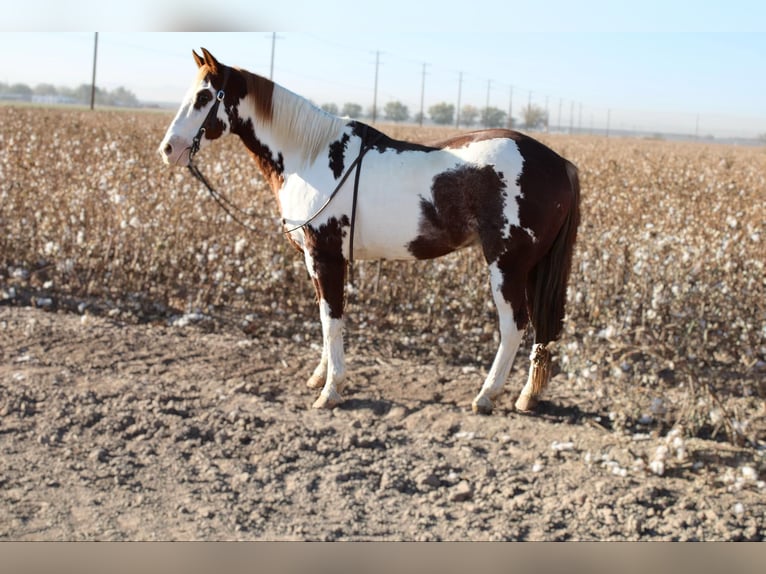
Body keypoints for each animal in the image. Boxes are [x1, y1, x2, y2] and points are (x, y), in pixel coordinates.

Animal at [158, 48, 580, 414]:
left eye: (204, 96)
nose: (168, 149)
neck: (310, 157)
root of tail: (558, 162)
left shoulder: (326, 257)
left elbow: (332, 320)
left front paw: (331, 390)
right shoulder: (317, 260)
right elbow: (326, 317)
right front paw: (320, 377)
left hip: (506, 265)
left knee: (514, 325)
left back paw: (486, 395)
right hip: (530, 268)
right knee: (538, 327)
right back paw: (526, 396)